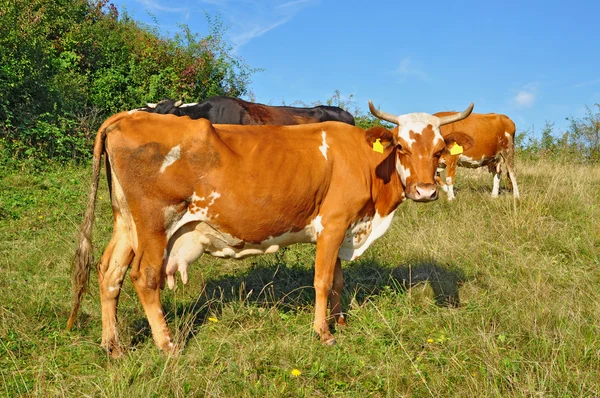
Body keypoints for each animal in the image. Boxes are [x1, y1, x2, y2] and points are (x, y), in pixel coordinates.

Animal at [67, 99, 474, 354]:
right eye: (402, 147)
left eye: (439, 149)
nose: (426, 191)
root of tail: (128, 116)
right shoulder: (333, 223)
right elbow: (322, 280)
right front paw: (323, 333)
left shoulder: (341, 227)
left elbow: (338, 280)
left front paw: (340, 323)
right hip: (154, 224)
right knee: (144, 277)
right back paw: (167, 345)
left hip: (126, 223)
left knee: (109, 272)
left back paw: (113, 346)